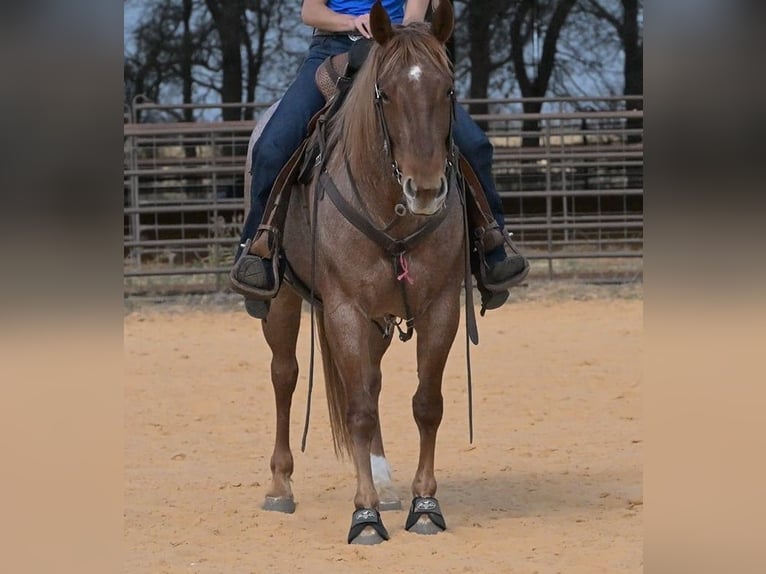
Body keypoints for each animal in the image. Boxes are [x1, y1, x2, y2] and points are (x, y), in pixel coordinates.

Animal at [248, 0, 464, 544]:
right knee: (285, 375)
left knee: (373, 378)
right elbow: (359, 408)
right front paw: (364, 515)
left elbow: (426, 403)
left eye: (448, 89)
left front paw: (423, 505)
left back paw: (385, 484)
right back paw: (280, 486)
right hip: (283, 301)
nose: (425, 189)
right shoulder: (344, 309)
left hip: (379, 319)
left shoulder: (441, 307)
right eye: (384, 93)